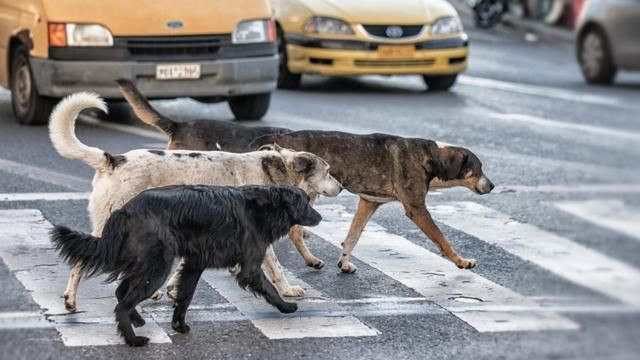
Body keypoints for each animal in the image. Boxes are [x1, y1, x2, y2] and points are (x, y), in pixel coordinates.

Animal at [47, 93, 342, 312]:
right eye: (328, 171)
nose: (341, 187)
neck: (276, 173)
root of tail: (113, 160)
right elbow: (277, 269)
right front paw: (288, 290)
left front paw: (172, 288)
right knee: (83, 260)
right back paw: (71, 300)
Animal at [50, 184, 322, 348]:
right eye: (306, 202)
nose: (320, 217)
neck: (265, 206)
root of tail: (124, 210)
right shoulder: (250, 266)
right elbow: (270, 288)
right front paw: (286, 306)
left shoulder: (194, 264)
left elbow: (185, 296)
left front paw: (179, 325)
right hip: (157, 267)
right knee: (121, 303)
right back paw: (133, 339)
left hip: (146, 264)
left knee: (121, 292)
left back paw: (137, 320)